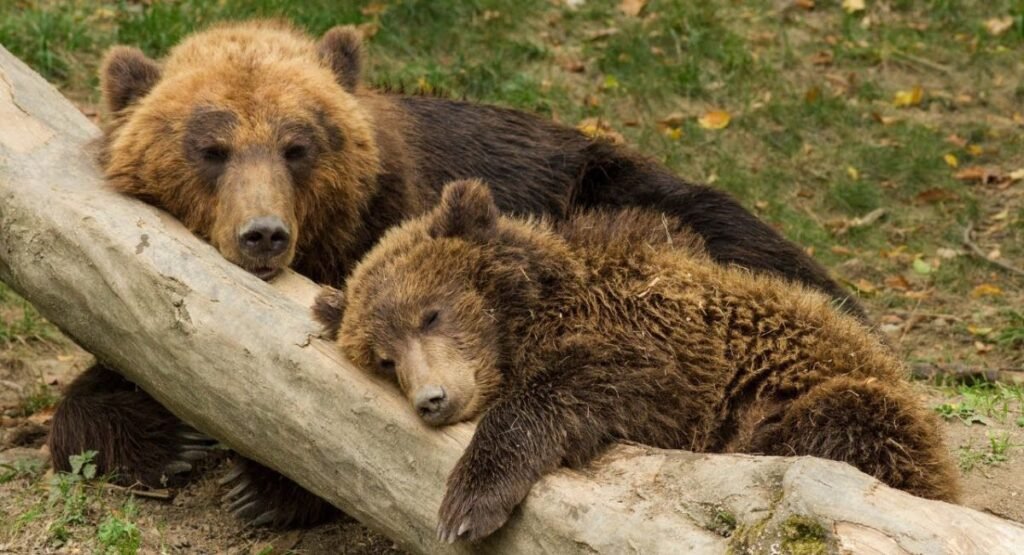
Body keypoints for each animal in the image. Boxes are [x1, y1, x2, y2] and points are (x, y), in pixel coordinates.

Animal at [315, 179, 959, 543]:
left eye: (430, 313)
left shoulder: (670, 346)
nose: (432, 399)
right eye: (384, 358)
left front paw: (468, 504)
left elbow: (589, 382)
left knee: (844, 423)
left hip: (850, 401)